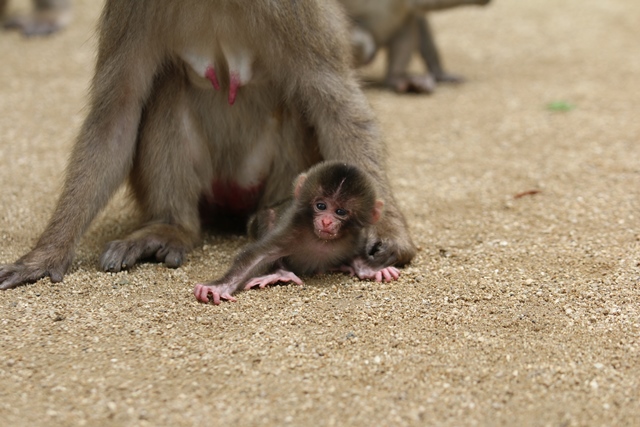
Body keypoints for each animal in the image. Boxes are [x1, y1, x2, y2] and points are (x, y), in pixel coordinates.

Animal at [194, 160, 400, 304]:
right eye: (321, 206)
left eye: (340, 212)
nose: (326, 221)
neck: (321, 241)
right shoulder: (293, 227)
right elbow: (259, 255)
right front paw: (219, 287)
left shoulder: (354, 238)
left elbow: (358, 255)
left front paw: (372, 269)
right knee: (268, 216)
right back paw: (280, 273)